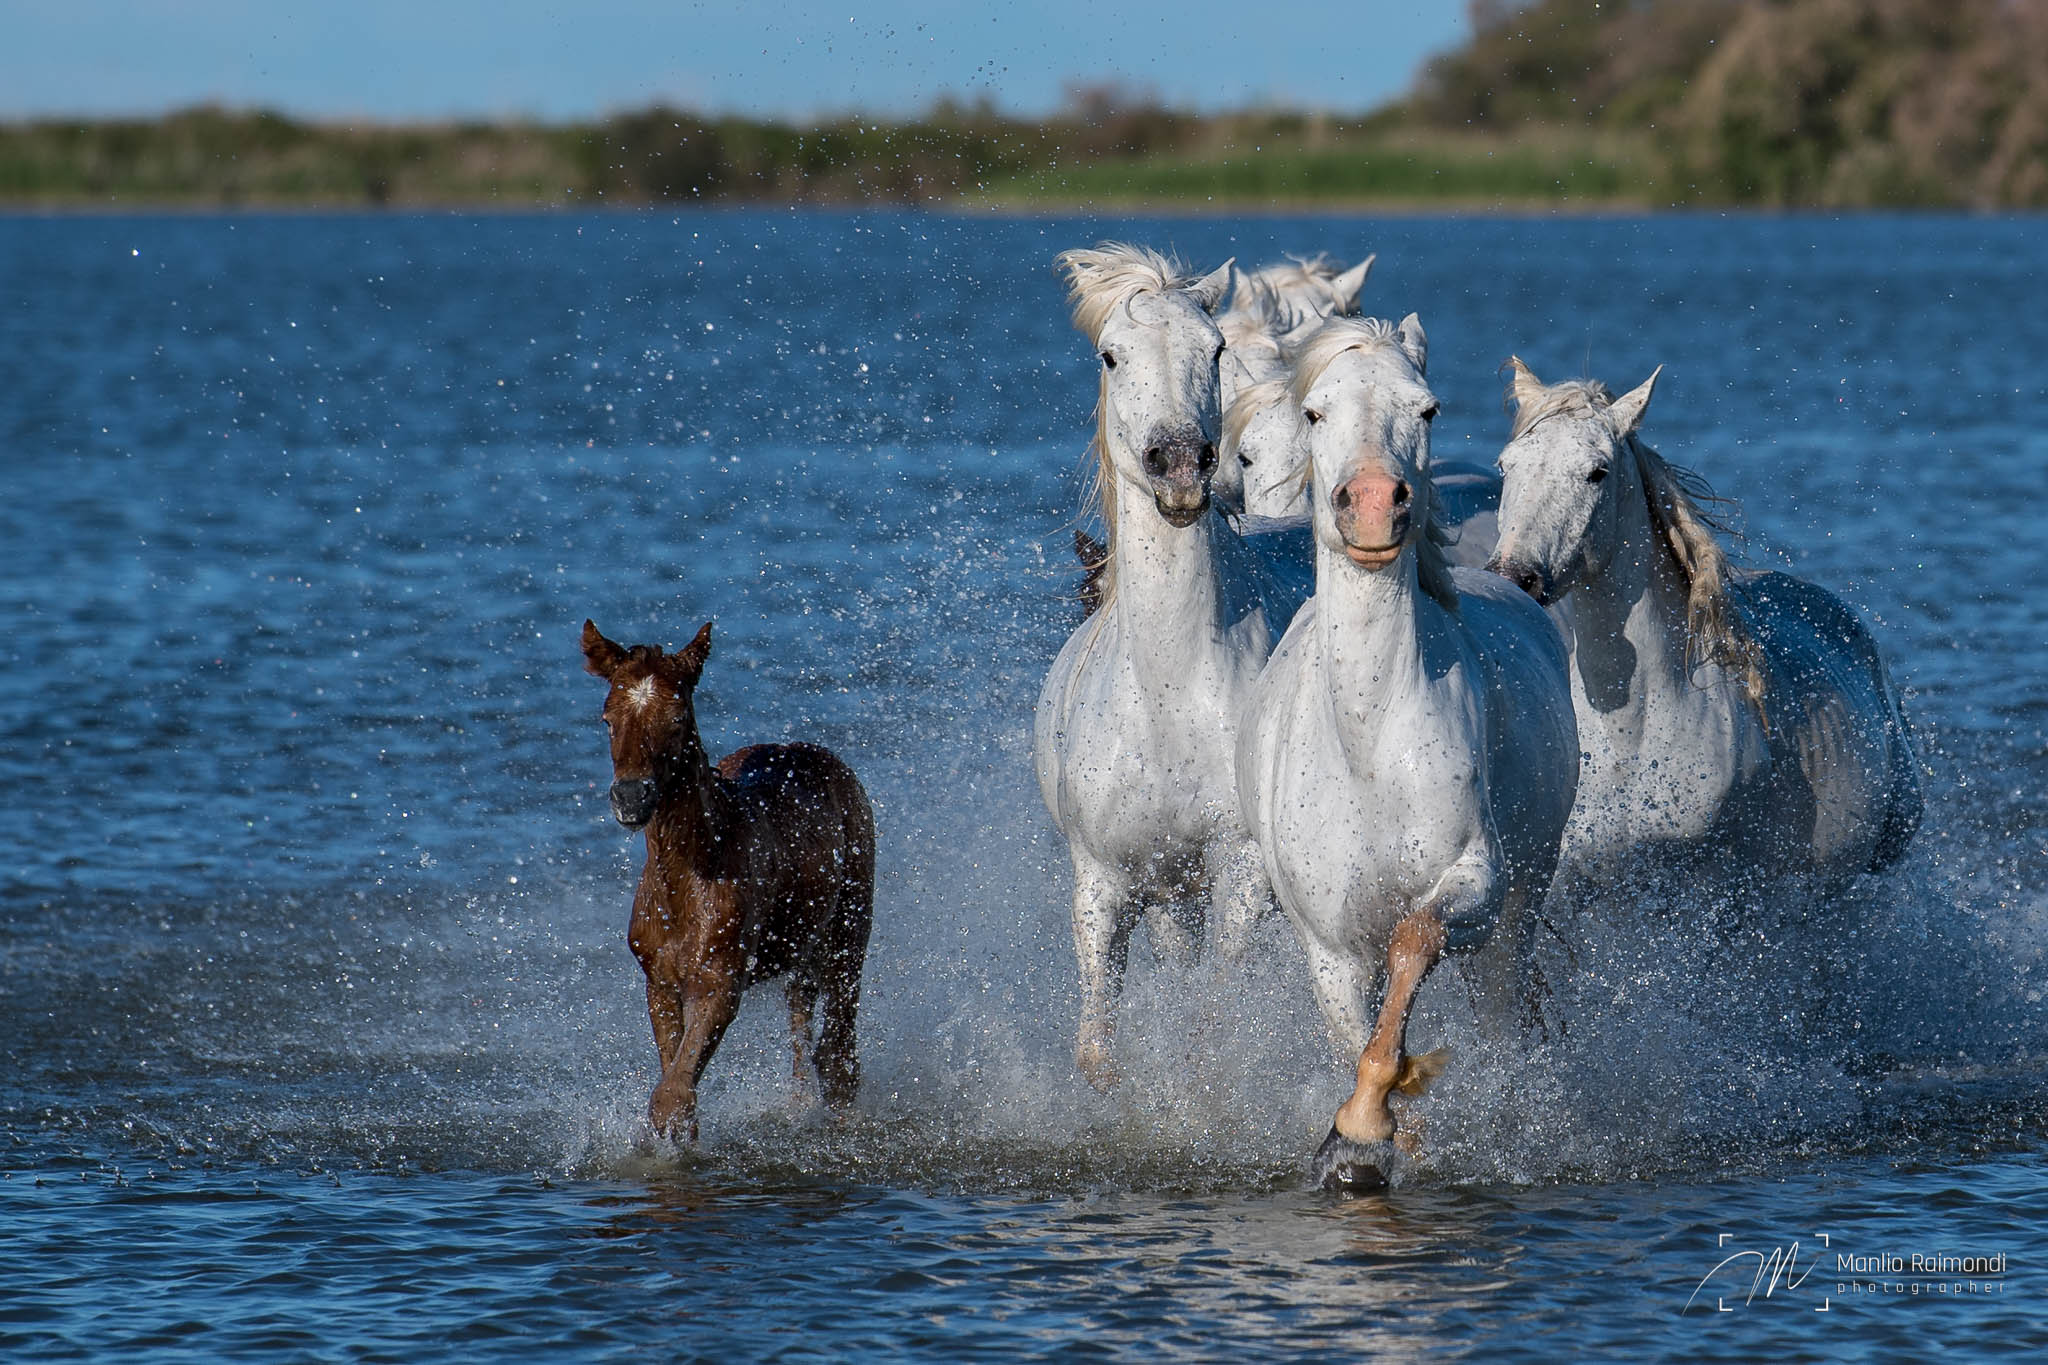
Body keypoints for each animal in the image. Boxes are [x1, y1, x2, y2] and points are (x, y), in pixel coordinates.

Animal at [581, 618, 875, 1142]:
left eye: (678, 716)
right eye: (608, 718)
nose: (631, 797)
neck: (685, 882)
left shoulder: (720, 981)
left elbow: (672, 1097)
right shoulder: (660, 983)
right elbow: (674, 1090)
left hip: (849, 929)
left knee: (839, 1051)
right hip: (801, 949)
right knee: (802, 1025)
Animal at [1035, 242, 1312, 1090]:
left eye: (1213, 349)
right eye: (1110, 354)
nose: (1181, 465)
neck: (1167, 691)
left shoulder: (1242, 871)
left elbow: (1213, 1026)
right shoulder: (1109, 881)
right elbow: (1097, 1051)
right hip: (1169, 895)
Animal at [1235, 317, 1580, 1190]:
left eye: (1425, 409)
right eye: (1316, 412)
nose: (1368, 506)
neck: (1367, 746)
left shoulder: (1476, 885)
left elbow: (1414, 939)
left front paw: (1364, 1125)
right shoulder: (1329, 951)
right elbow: (1357, 1035)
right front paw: (1364, 1139)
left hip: (1517, 914)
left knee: (1503, 1014)